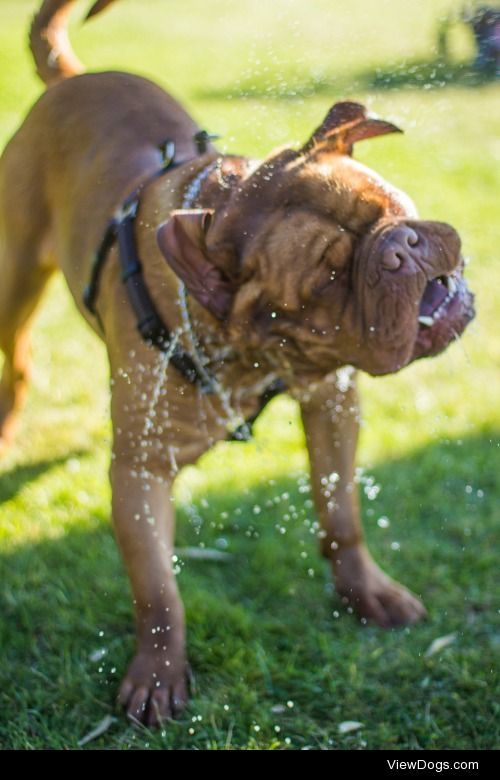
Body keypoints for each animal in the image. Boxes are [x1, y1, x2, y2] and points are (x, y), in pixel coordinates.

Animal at [0, 0, 474, 724]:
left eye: (387, 203)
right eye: (329, 279)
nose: (402, 247)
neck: (245, 349)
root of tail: (70, 80)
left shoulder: (332, 400)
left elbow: (341, 514)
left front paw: (367, 593)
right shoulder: (139, 472)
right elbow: (157, 590)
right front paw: (157, 671)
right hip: (14, 279)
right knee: (17, 360)